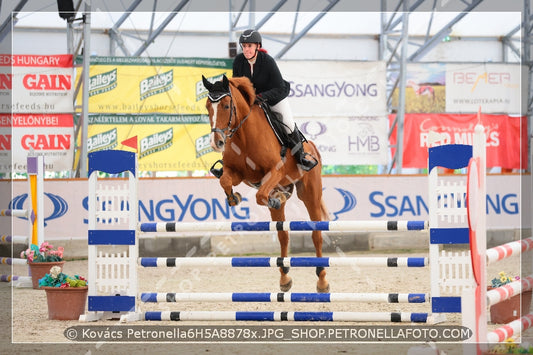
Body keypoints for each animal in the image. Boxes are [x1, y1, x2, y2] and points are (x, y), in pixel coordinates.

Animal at [203, 74, 328, 292]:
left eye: (226, 105)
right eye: (207, 106)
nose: (216, 142)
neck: (243, 135)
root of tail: (312, 146)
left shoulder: (274, 172)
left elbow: (260, 195)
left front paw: (273, 198)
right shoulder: (239, 174)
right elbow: (225, 180)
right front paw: (234, 198)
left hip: (310, 193)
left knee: (316, 234)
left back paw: (322, 281)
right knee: (283, 235)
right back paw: (284, 279)